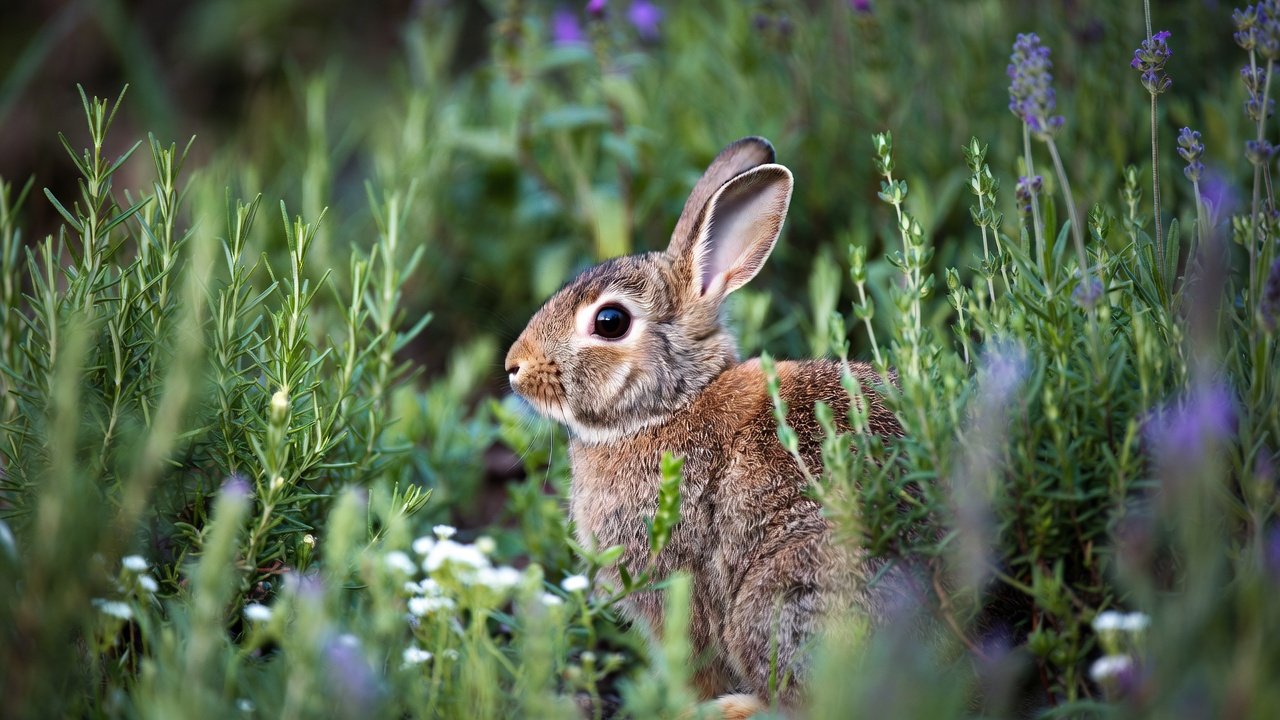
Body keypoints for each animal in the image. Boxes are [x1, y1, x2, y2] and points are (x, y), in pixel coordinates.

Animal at [505, 137, 903, 716]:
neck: (669, 407)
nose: (513, 366)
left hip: (780, 593)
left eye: (610, 322)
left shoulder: (674, 584)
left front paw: (681, 704)